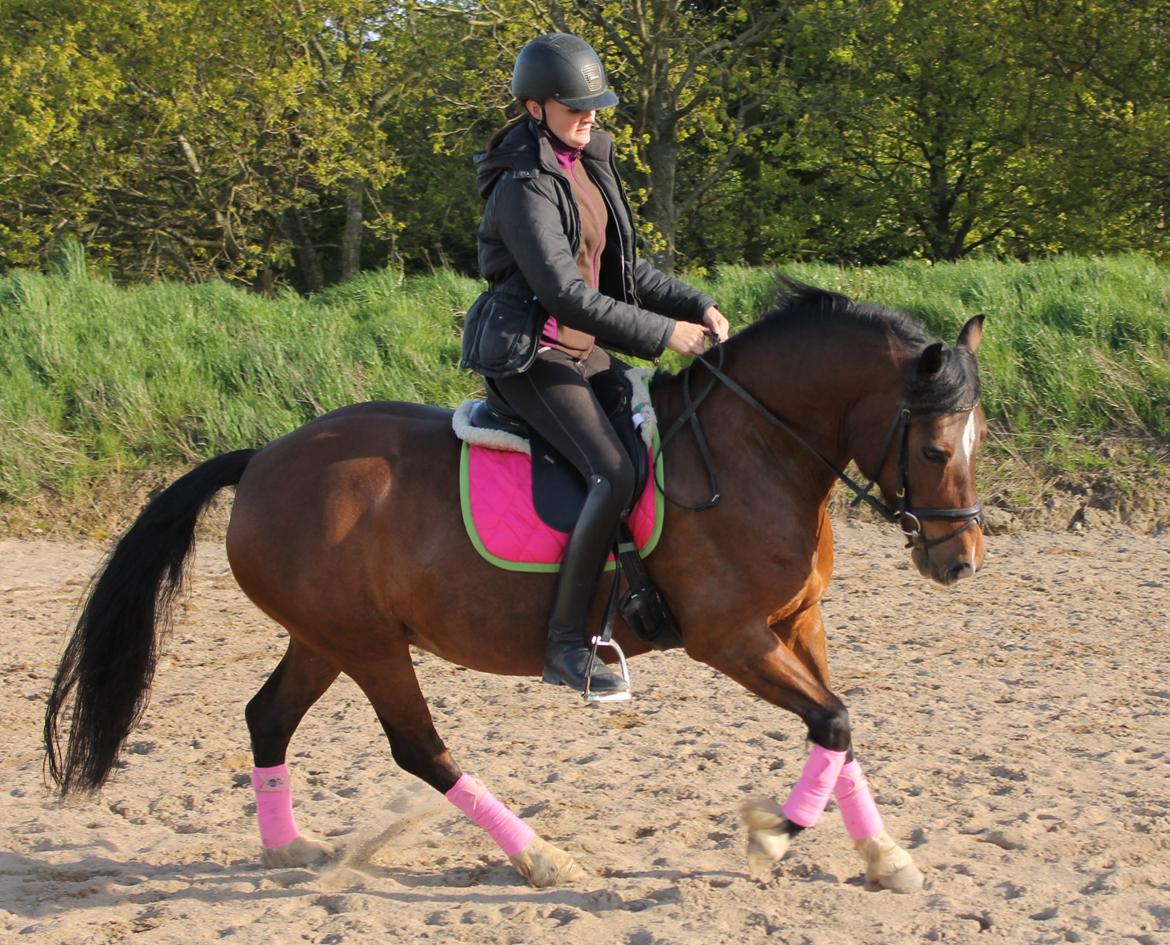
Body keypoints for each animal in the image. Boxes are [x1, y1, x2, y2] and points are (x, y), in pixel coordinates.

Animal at [43, 282, 987, 893]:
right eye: (936, 447)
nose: (961, 562)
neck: (756, 448)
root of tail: (265, 457)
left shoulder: (798, 622)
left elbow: (841, 725)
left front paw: (886, 857)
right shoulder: (731, 637)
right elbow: (832, 720)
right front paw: (773, 835)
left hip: (325, 636)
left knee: (268, 716)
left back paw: (288, 850)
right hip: (370, 645)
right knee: (419, 749)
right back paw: (543, 858)